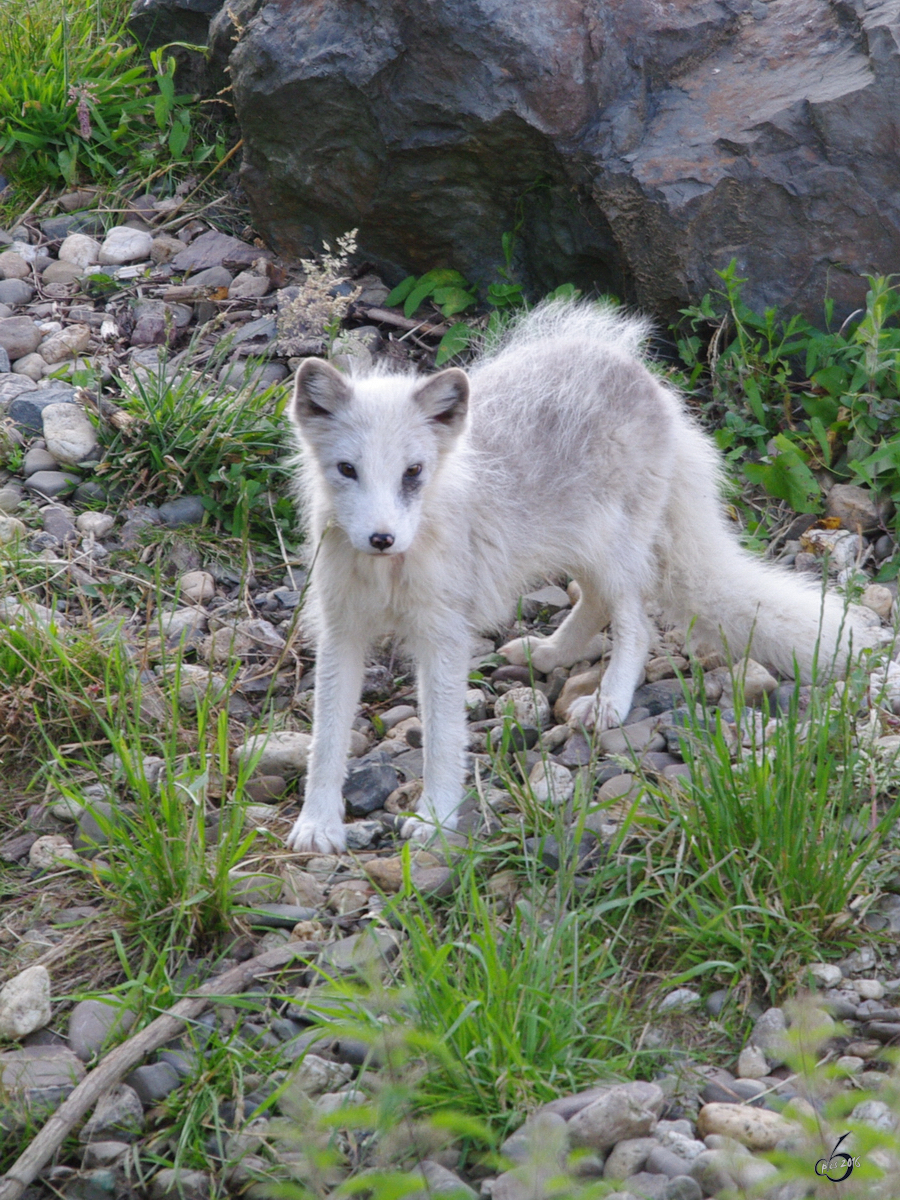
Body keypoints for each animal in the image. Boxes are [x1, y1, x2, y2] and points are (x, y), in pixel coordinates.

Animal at [286, 300, 873, 854]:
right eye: (347, 470)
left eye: (413, 473)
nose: (381, 538)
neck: (388, 574)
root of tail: (642, 375)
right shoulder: (341, 633)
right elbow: (326, 738)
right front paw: (317, 824)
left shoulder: (442, 637)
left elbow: (441, 739)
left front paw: (433, 818)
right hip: (576, 546)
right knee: (595, 601)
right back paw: (549, 654)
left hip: (610, 547)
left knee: (637, 620)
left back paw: (610, 701)